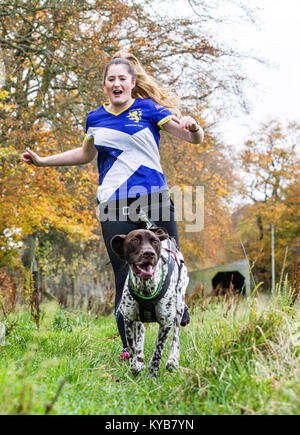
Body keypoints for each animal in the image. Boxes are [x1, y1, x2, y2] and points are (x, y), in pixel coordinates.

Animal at [111, 228, 189, 378]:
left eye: (155, 241)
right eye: (134, 241)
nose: (149, 253)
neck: (146, 287)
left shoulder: (166, 323)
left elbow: (158, 351)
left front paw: (152, 372)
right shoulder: (129, 320)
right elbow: (133, 349)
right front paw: (136, 365)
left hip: (179, 305)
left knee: (176, 336)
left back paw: (173, 360)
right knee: (141, 333)